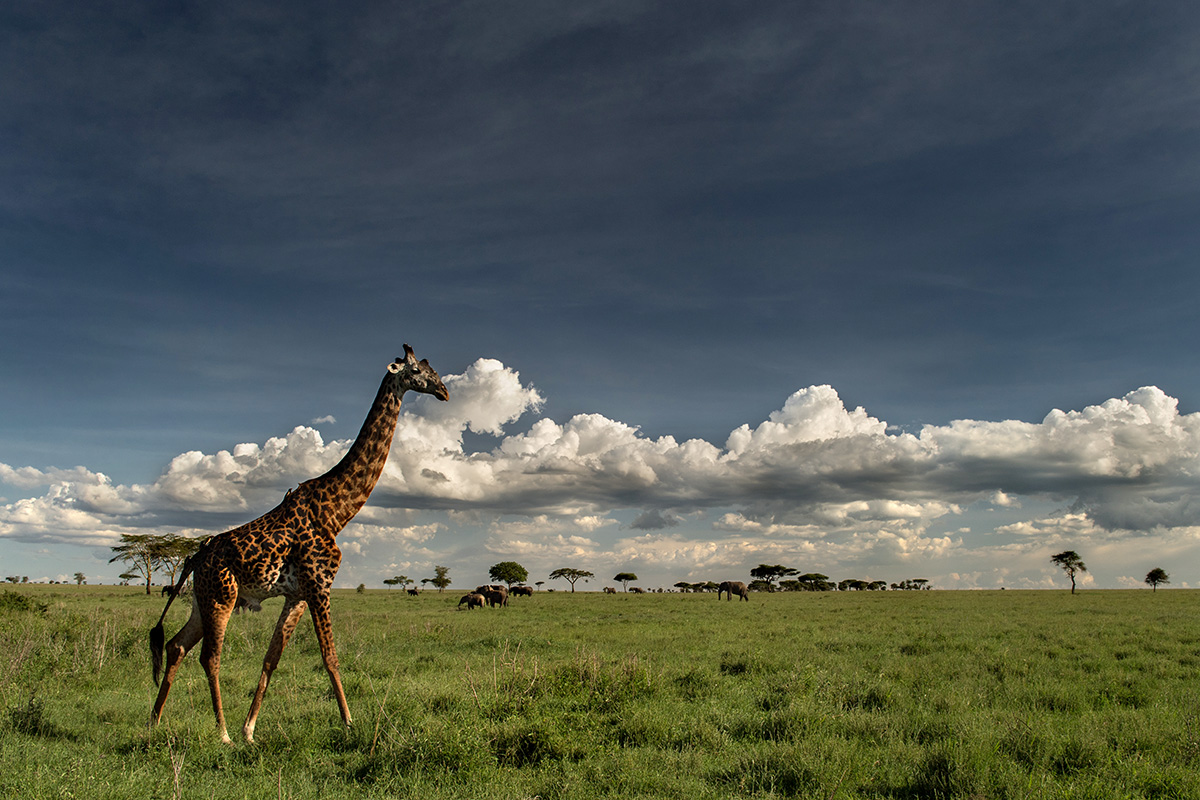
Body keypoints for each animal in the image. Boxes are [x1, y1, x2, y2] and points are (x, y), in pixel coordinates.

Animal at [148, 345, 451, 743]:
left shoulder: (297, 595)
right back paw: (221, 733)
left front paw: (250, 730)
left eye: (434, 371)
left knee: (176, 645)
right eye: (417, 371)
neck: (337, 511)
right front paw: (349, 722)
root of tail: (196, 557)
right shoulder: (320, 585)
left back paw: (153, 722)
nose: (445, 392)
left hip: (202, 600)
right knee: (209, 657)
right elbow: (330, 656)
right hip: (222, 597)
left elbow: (271, 657)